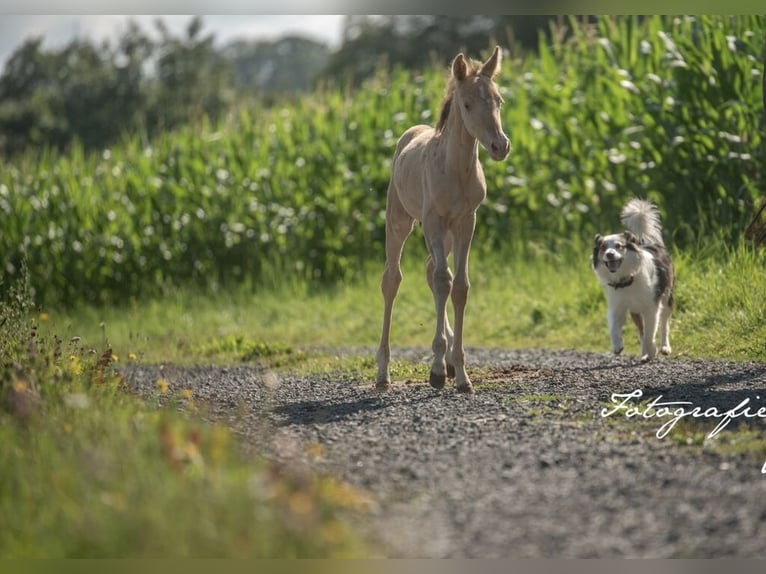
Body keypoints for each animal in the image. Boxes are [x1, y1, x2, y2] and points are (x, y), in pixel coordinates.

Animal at [376, 46, 512, 396]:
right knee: (392, 279)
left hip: (447, 234)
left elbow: (459, 286)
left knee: (431, 269)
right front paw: (436, 371)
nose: (500, 146)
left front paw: (460, 373)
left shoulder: (466, 222)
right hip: (401, 221)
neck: (456, 170)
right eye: (467, 104)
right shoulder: (434, 221)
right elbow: (442, 282)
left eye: (498, 100)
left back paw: (449, 361)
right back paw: (383, 372)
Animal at [592, 200, 680, 362]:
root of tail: (652, 243)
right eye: (603, 248)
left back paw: (665, 347)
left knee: (664, 323)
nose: (609, 254)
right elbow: (614, 327)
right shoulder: (617, 306)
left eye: (619, 246)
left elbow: (650, 332)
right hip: (635, 311)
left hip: (666, 298)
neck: (626, 280)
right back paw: (644, 354)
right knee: (641, 330)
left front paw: (653, 349)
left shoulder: (651, 307)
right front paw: (617, 346)